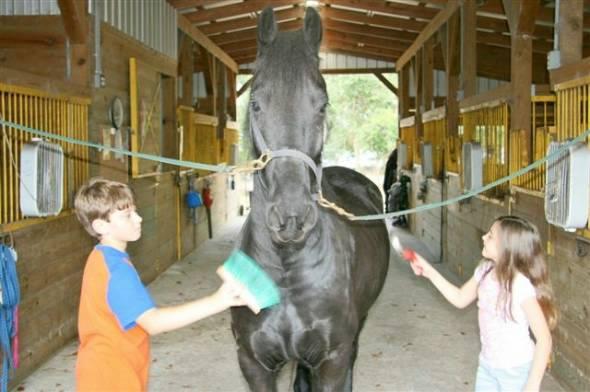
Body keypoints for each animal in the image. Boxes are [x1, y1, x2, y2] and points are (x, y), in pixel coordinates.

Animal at [232, 6, 394, 392]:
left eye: (322, 104)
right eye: (255, 103)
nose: (291, 217)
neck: (286, 269)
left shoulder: (332, 361)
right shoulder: (253, 363)